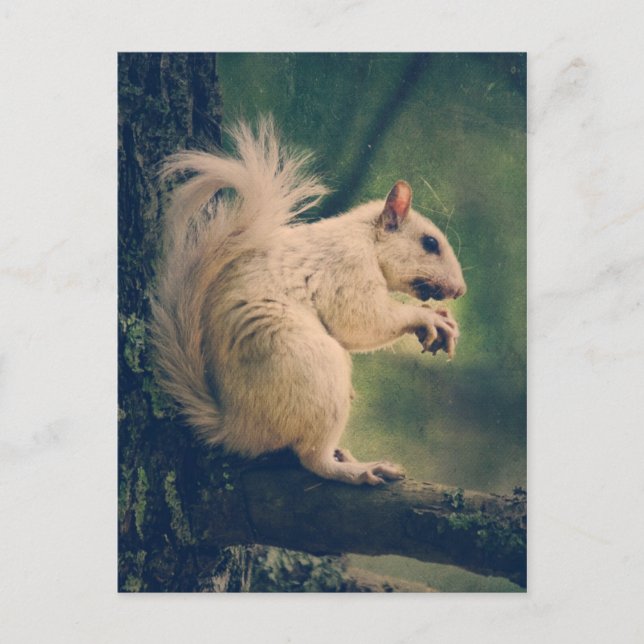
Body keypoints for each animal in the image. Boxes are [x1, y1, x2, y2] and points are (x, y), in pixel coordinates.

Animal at [150, 117, 466, 485]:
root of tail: (237, 427)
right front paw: (428, 318)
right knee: (313, 459)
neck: (365, 239)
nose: (460, 291)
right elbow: (362, 321)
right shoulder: (347, 268)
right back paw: (358, 468)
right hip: (316, 372)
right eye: (430, 243)